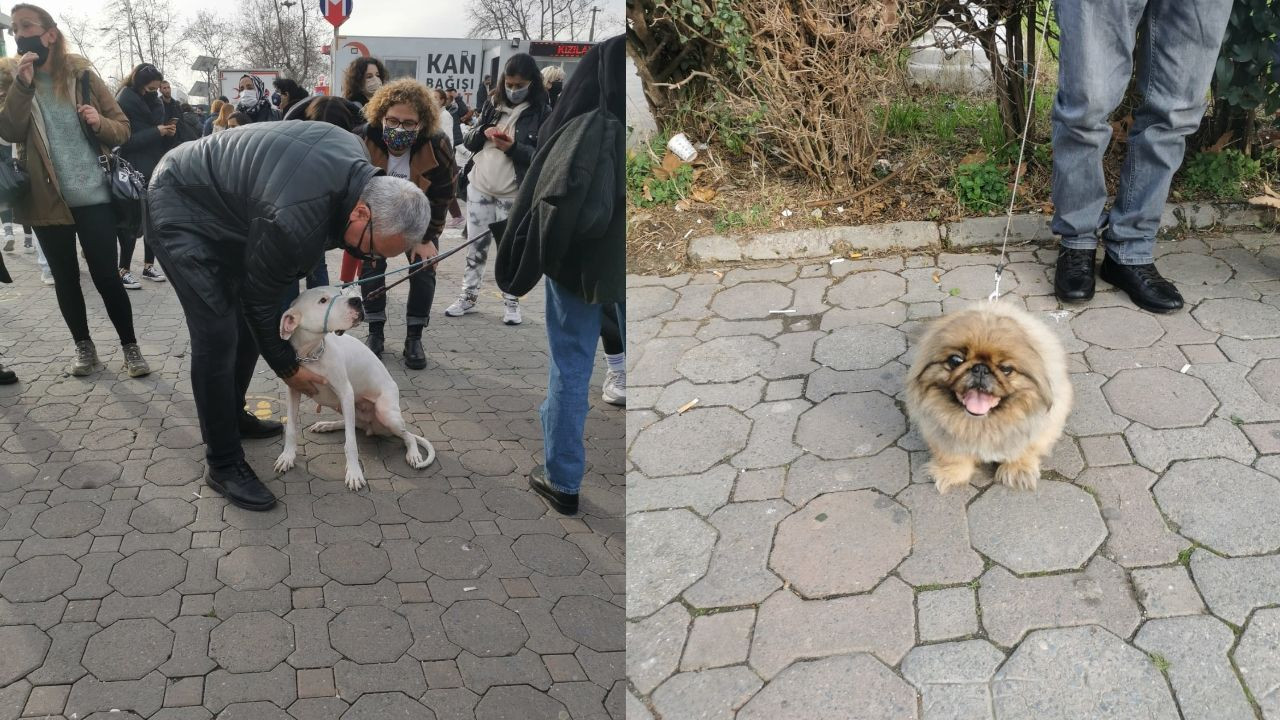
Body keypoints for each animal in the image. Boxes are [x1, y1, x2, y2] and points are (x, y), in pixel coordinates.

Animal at [273, 285, 435, 486]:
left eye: (340, 293)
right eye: (322, 300)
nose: (357, 301)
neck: (312, 353)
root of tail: (371, 426)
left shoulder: (346, 393)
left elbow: (350, 442)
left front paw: (354, 472)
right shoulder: (294, 389)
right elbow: (291, 428)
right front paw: (287, 456)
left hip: (386, 414)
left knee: (408, 435)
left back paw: (413, 454)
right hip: (345, 407)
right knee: (353, 423)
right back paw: (326, 425)